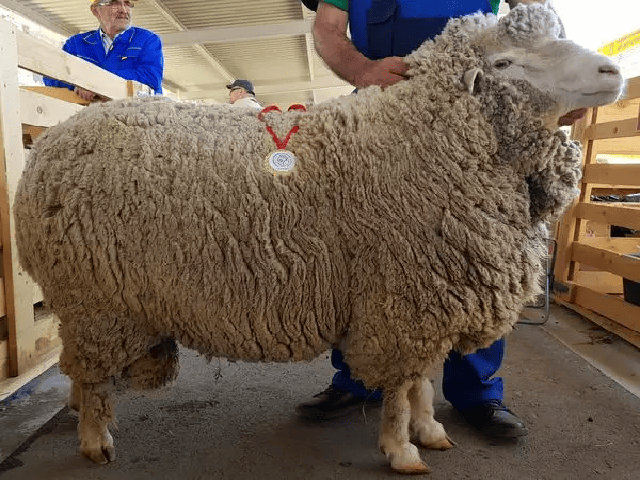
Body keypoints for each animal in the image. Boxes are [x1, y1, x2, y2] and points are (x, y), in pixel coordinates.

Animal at [13, 2, 623, 474]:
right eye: (503, 62)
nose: (613, 70)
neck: (427, 138)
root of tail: (48, 145)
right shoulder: (402, 296)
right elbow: (402, 387)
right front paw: (402, 449)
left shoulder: (428, 295)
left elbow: (423, 380)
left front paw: (430, 431)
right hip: (94, 297)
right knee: (91, 375)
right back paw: (95, 440)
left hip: (92, 302)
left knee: (79, 368)